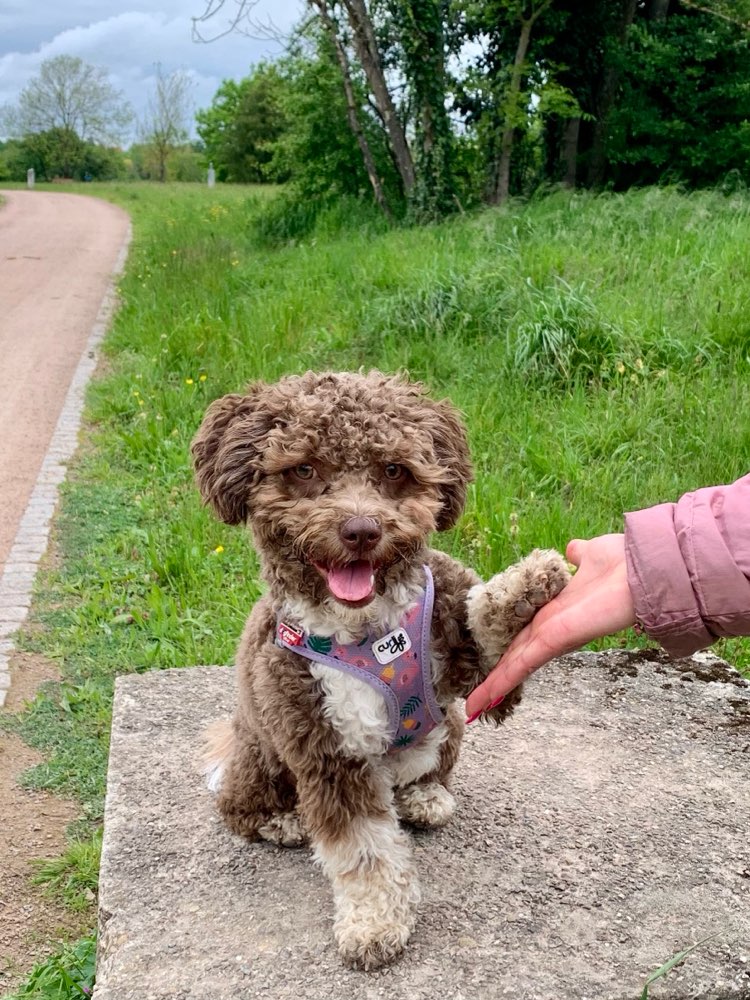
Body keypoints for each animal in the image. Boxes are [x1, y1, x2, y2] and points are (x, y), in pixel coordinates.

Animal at [191, 372, 568, 972]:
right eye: (304, 470)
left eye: (393, 470)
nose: (362, 529)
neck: (367, 632)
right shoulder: (329, 752)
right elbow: (364, 851)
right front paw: (373, 926)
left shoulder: (460, 660)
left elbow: (484, 624)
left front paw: (528, 583)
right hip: (260, 752)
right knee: (236, 806)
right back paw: (282, 822)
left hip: (450, 723)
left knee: (429, 769)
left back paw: (425, 797)